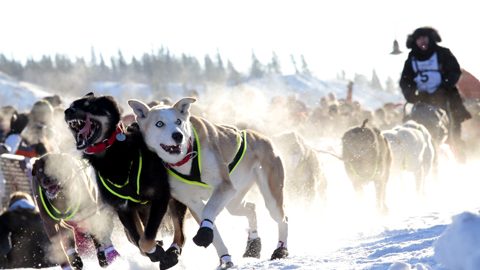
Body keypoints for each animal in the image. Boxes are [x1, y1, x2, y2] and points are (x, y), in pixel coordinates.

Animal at [128, 96, 288, 268]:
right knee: (251, 208)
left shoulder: (223, 188)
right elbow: (214, 233)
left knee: (282, 219)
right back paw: (253, 244)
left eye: (178, 121)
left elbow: (208, 212)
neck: (187, 158)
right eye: (159, 124)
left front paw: (205, 234)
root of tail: (263, 138)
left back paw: (281, 250)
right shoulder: (191, 202)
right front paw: (225, 259)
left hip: (269, 197)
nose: (178, 136)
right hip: (234, 202)